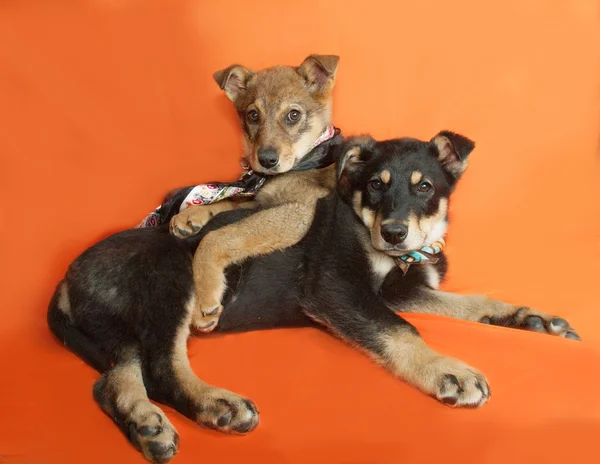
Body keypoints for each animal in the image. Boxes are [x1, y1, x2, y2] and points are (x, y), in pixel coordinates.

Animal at [49, 132, 580, 462]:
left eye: (425, 187)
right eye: (375, 187)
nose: (393, 234)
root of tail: (65, 280)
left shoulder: (400, 289)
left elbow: (468, 301)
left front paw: (530, 318)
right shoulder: (335, 288)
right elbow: (400, 330)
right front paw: (447, 370)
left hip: (116, 331)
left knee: (114, 380)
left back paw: (148, 426)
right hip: (170, 277)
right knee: (161, 367)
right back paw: (216, 405)